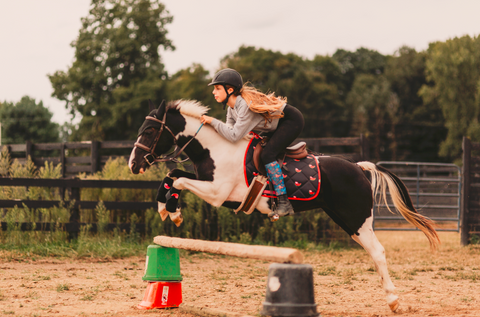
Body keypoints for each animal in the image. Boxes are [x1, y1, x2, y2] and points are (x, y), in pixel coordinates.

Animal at [129, 99, 440, 312]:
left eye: (149, 131)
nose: (133, 165)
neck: (214, 149)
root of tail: (359, 167)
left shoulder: (218, 193)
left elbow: (179, 180)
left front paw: (172, 211)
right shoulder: (207, 183)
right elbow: (172, 175)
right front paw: (167, 209)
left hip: (357, 220)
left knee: (378, 252)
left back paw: (394, 300)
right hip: (346, 220)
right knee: (373, 252)